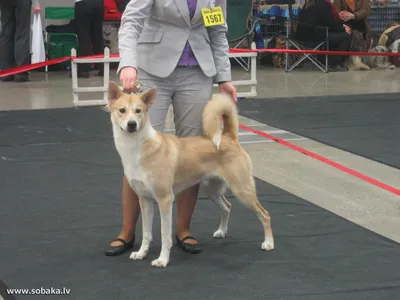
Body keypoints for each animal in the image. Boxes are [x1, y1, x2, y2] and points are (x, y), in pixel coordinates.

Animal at [106, 80, 276, 268]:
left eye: (138, 111)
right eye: (122, 110)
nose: (132, 124)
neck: (138, 148)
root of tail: (229, 137)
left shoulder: (165, 199)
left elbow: (165, 235)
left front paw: (162, 260)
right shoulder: (144, 200)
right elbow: (146, 233)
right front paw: (141, 253)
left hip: (243, 190)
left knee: (264, 214)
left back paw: (269, 243)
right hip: (212, 190)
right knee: (227, 207)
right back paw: (221, 231)